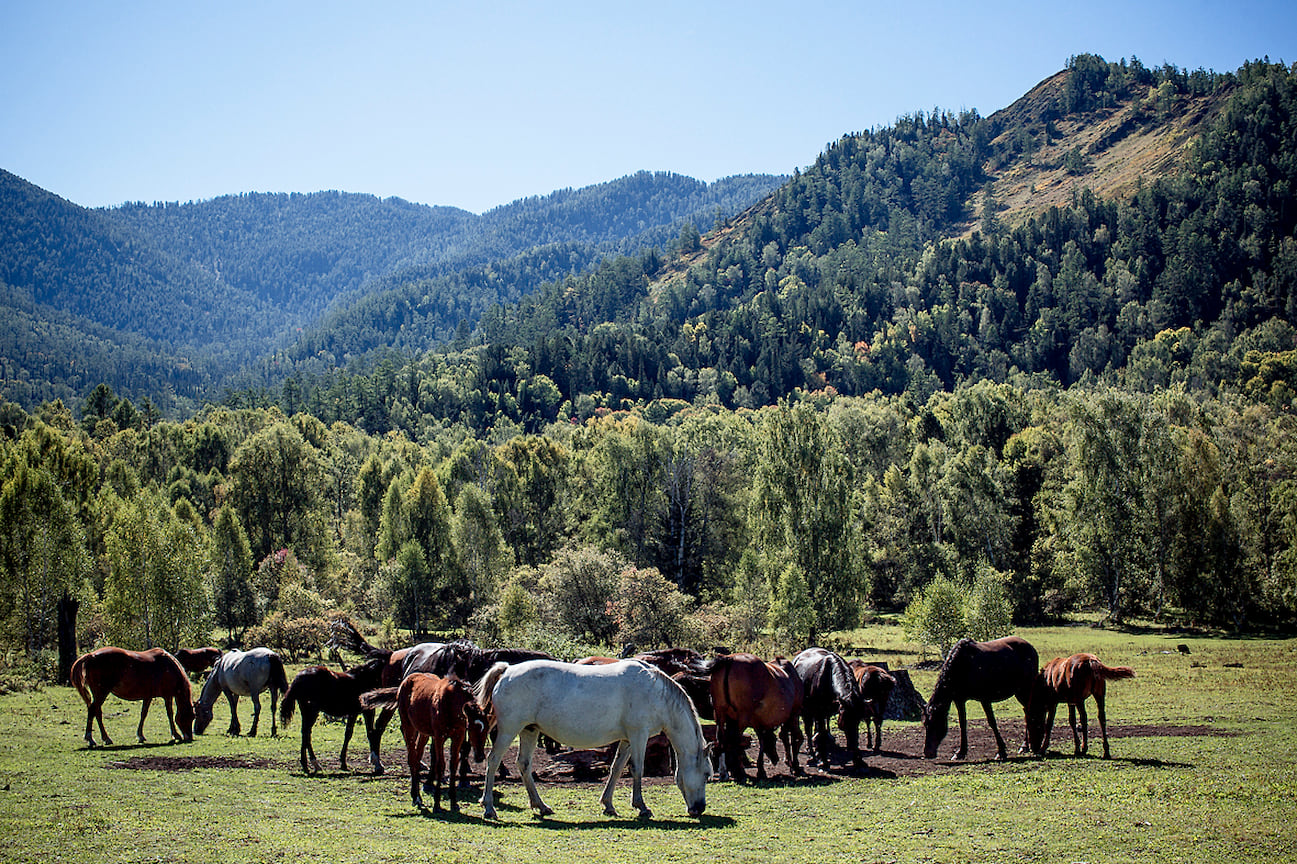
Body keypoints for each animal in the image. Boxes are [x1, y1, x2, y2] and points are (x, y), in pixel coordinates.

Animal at [360, 674, 490, 809]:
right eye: (472, 727)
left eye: (487, 728)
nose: (480, 757)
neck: (450, 703)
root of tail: (404, 682)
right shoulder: (439, 737)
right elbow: (440, 765)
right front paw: (437, 804)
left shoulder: (458, 736)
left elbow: (453, 765)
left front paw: (454, 803)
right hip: (408, 726)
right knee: (412, 758)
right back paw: (416, 798)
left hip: (424, 733)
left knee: (417, 758)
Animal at [474, 656, 705, 819]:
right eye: (706, 774)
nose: (700, 808)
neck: (655, 691)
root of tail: (508, 670)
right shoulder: (639, 735)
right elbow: (637, 769)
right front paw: (641, 807)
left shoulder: (627, 740)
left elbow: (617, 768)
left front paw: (608, 805)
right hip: (509, 730)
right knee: (493, 761)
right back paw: (489, 807)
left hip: (529, 731)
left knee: (524, 764)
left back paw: (541, 806)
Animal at [705, 648, 804, 778]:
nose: (775, 759)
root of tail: (729, 659)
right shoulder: (793, 714)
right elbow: (794, 737)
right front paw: (795, 765)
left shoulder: (754, 722)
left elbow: (767, 740)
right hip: (742, 718)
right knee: (736, 740)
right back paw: (740, 771)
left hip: (720, 715)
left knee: (722, 740)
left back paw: (725, 771)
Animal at [923, 633, 1042, 762]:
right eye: (925, 724)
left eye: (936, 723)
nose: (927, 753)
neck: (963, 666)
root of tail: (1031, 648)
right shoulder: (959, 700)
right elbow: (962, 723)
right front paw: (961, 752)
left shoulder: (985, 699)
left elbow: (992, 722)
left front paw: (1001, 752)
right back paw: (1026, 745)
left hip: (1025, 689)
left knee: (1029, 712)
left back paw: (1026, 745)